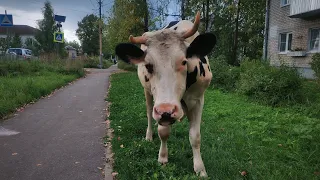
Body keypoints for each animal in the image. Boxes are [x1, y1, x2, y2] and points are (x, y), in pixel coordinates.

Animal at [114, 12, 216, 177]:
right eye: (148, 65)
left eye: (184, 61)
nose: (167, 111)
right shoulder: (160, 107)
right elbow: (163, 132)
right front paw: (162, 157)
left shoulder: (199, 99)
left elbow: (195, 136)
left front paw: (200, 168)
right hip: (147, 93)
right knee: (149, 113)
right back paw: (149, 135)